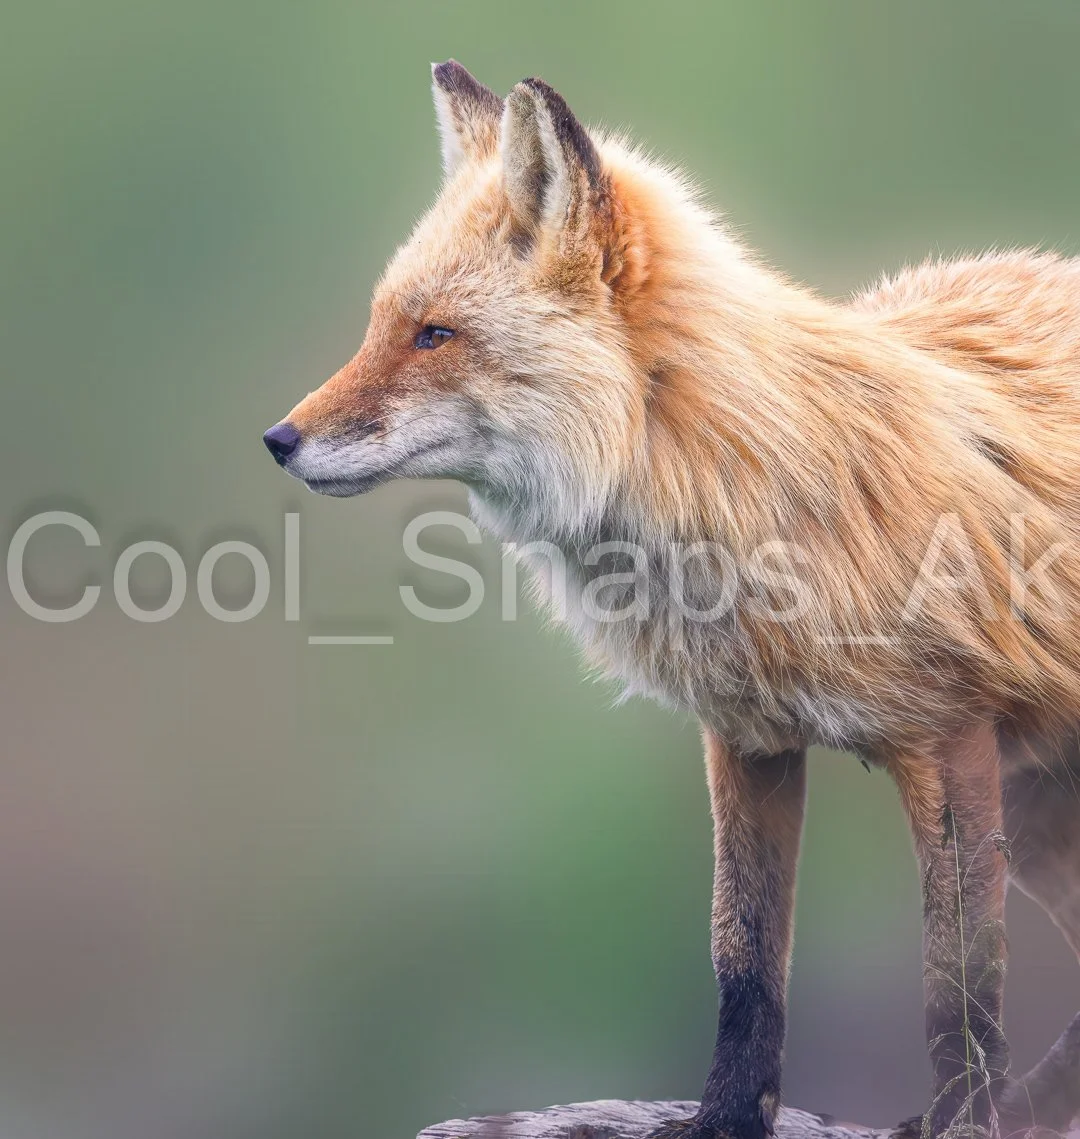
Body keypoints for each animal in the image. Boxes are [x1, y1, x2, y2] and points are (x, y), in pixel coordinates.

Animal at [263, 62, 1080, 1139]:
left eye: (435, 334)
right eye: (380, 325)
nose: (278, 440)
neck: (745, 478)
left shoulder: (945, 738)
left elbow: (960, 990)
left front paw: (960, 1122)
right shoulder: (748, 738)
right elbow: (744, 964)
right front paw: (724, 1121)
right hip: (1039, 811)